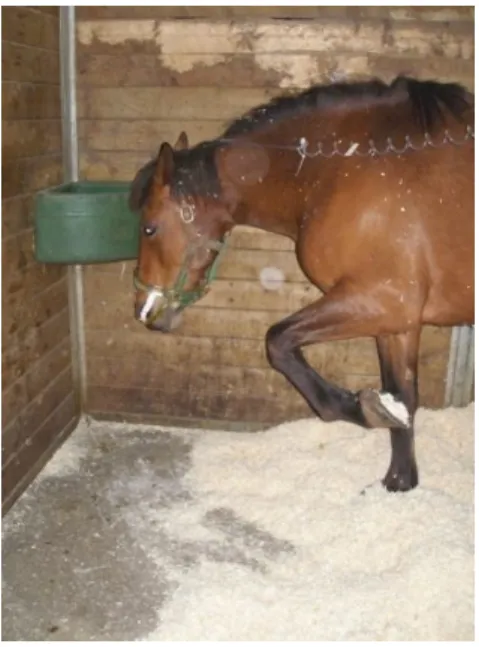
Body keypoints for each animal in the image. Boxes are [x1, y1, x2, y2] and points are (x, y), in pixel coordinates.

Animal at [129, 75, 474, 493]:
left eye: (149, 228)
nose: (144, 309)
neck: (345, 170)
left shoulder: (381, 299)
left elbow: (278, 341)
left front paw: (359, 408)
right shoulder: (398, 320)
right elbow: (404, 396)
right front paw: (399, 480)